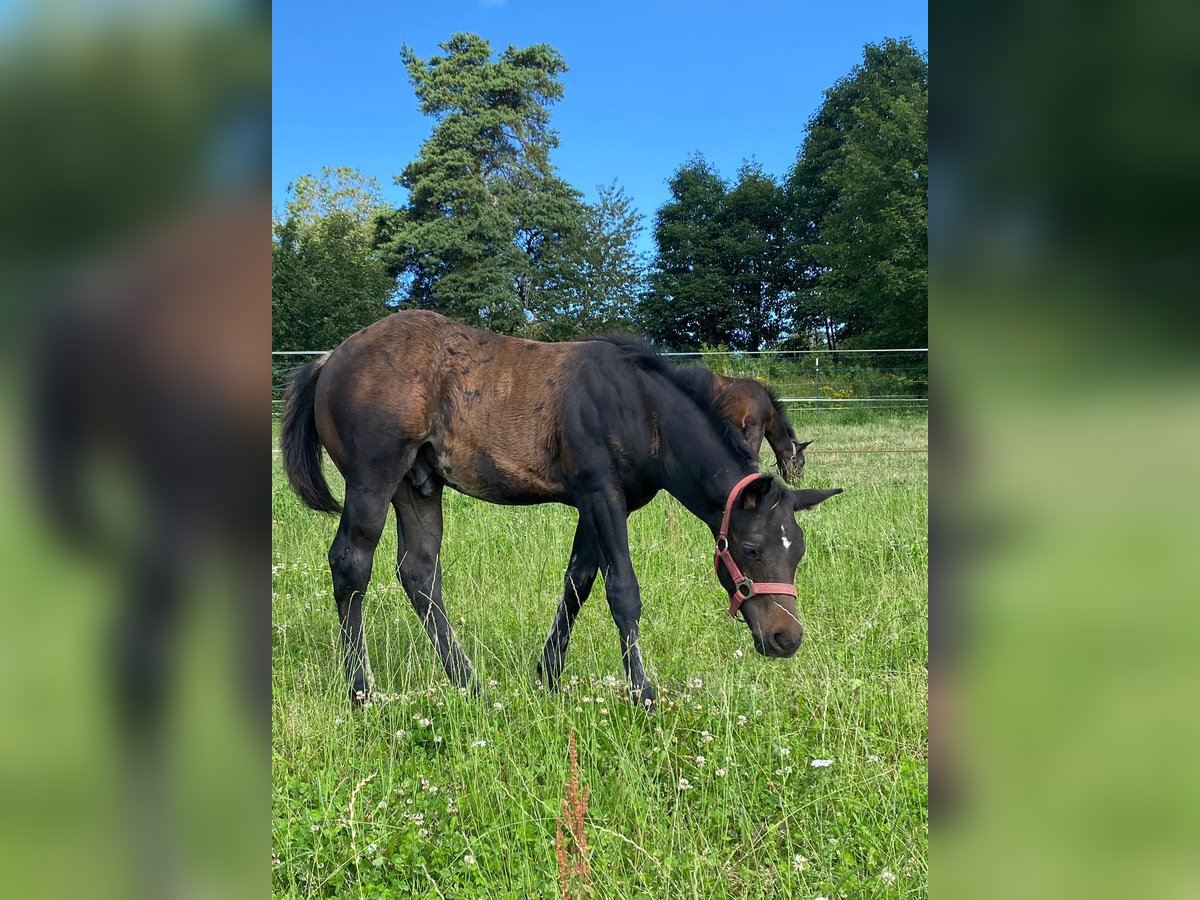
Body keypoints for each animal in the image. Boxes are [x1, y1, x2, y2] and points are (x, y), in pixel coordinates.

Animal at [280, 314, 844, 710]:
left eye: (797, 553)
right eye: (751, 548)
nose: (786, 638)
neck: (642, 408)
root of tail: (328, 359)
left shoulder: (599, 504)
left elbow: (579, 580)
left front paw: (548, 677)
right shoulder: (601, 495)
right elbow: (622, 591)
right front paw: (644, 696)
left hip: (417, 487)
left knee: (418, 572)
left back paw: (472, 687)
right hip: (373, 480)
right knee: (351, 565)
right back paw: (361, 692)